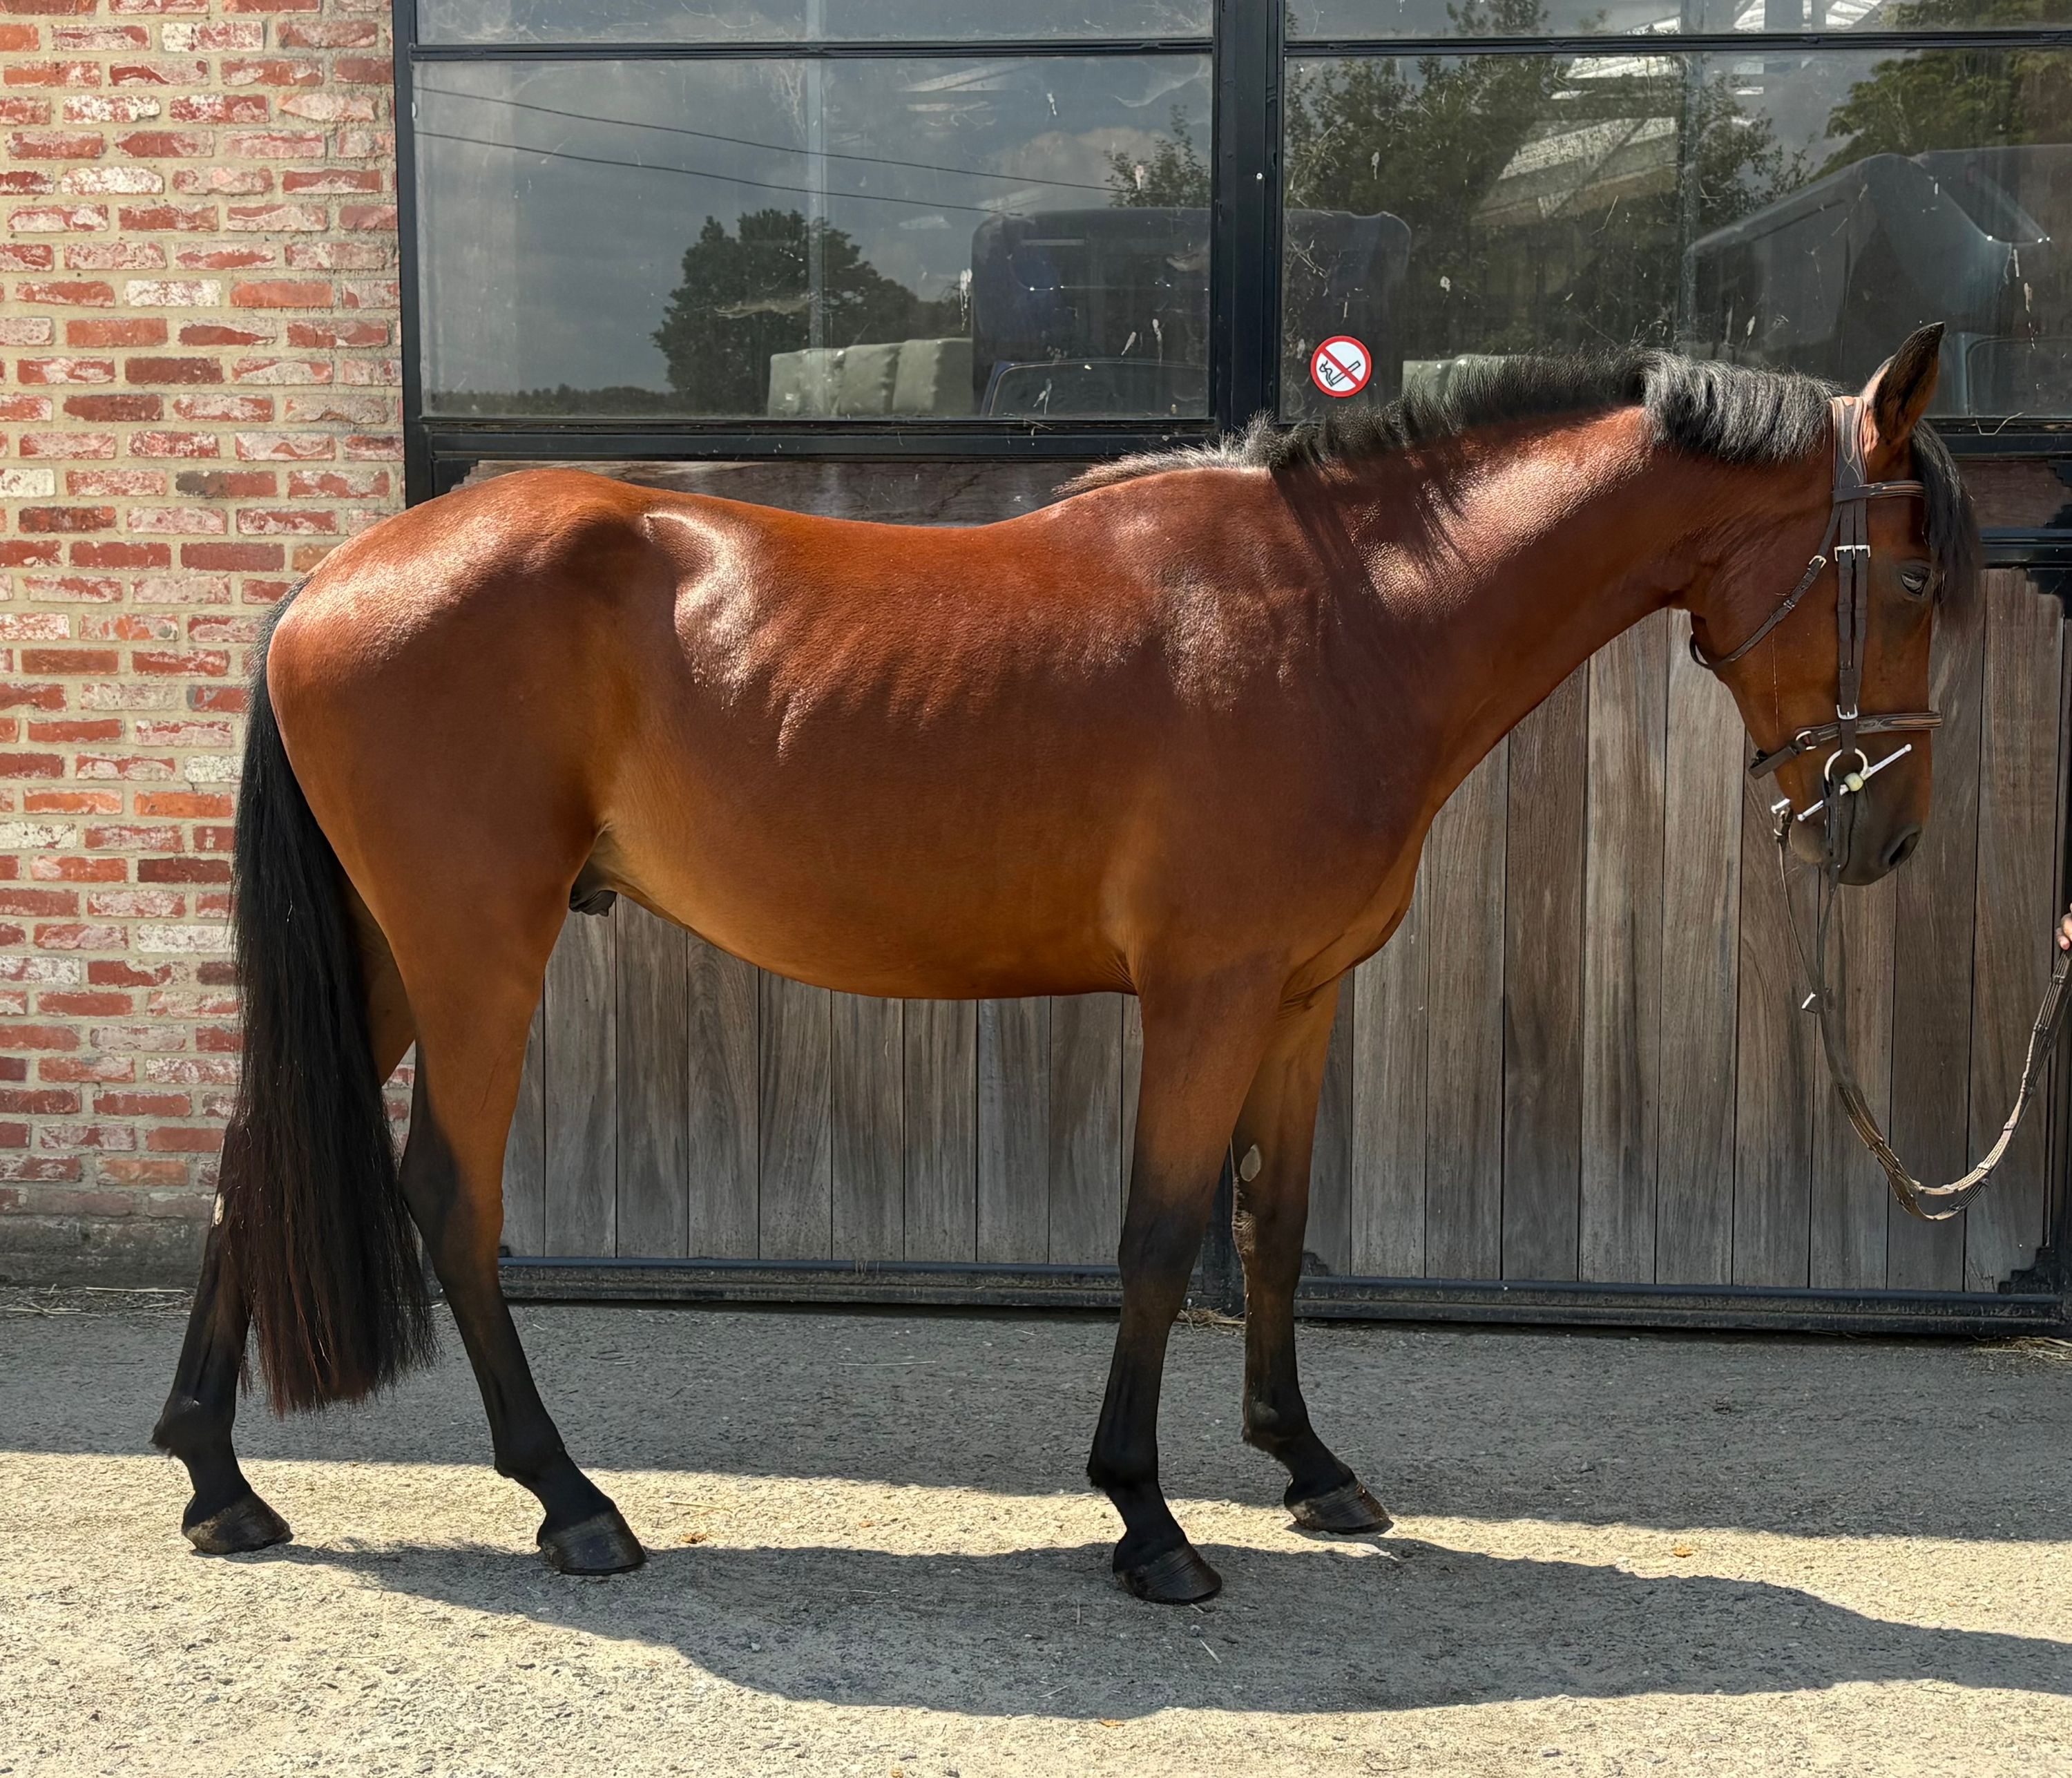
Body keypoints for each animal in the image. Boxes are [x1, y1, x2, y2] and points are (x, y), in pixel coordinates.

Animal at [152, 323, 1974, 1604]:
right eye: (1914, 577)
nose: (1878, 840)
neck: (1346, 617)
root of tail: (328, 584)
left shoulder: (1303, 996)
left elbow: (1276, 1230)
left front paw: (1310, 1468)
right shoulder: (1207, 993)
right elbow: (1161, 1236)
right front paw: (1150, 1519)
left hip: (392, 947)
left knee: (249, 1158)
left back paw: (218, 1482)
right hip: (477, 946)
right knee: (449, 1194)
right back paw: (570, 1501)